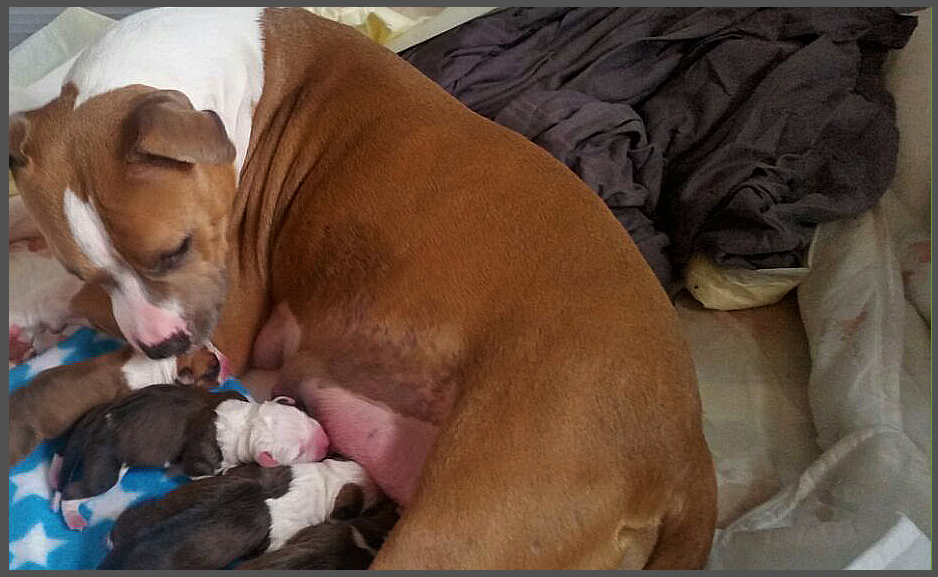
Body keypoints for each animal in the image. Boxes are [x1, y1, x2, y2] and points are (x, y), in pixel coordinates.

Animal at [8, 7, 716, 568]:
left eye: (175, 249)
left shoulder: (225, 318)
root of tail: (684, 449)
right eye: (90, 267)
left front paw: (26, 310)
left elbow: (46, 283)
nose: (165, 347)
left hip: (460, 527)